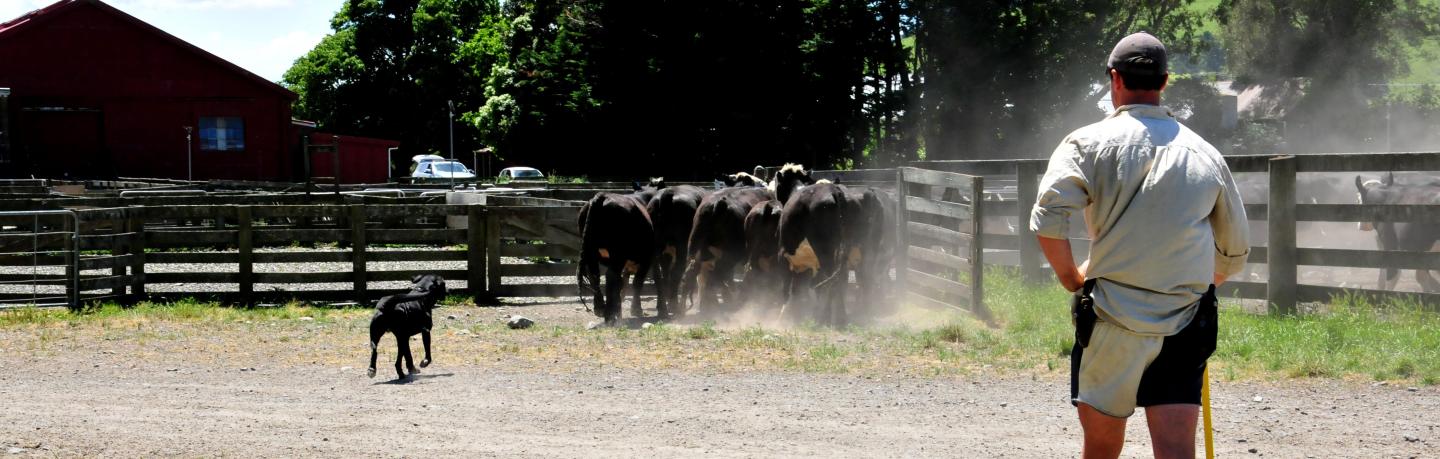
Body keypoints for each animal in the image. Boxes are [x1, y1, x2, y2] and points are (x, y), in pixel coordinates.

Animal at [578, 192, 659, 325]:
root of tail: (603, 196)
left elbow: (622, 283)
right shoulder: (646, 260)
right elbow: (637, 282)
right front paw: (636, 309)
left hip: (591, 254)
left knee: (595, 276)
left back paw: (601, 309)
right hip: (618, 255)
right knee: (610, 276)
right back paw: (610, 314)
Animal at [648, 185, 708, 317]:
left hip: (655, 248)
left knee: (659, 275)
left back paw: (663, 308)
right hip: (682, 247)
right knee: (677, 272)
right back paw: (674, 306)